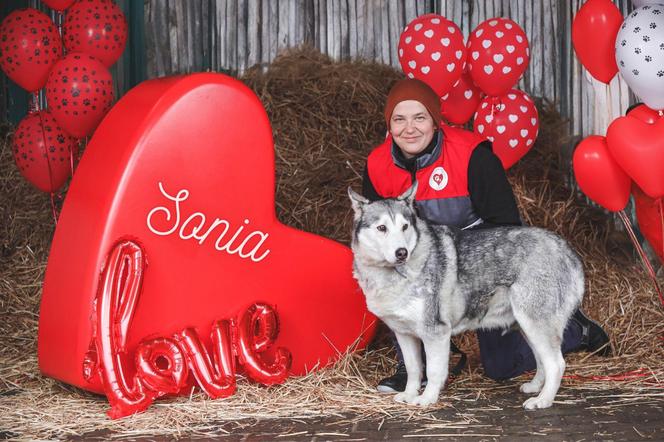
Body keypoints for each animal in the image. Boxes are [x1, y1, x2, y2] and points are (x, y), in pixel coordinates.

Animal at [348, 182, 580, 408]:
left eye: (404, 227)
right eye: (382, 228)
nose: (402, 252)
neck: (393, 274)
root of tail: (567, 250)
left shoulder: (436, 333)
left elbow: (433, 371)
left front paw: (427, 398)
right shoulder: (404, 334)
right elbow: (414, 369)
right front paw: (409, 394)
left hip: (535, 323)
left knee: (556, 364)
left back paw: (543, 400)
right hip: (527, 326)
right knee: (541, 360)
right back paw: (535, 387)